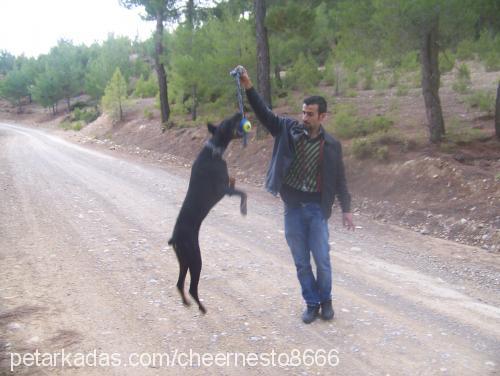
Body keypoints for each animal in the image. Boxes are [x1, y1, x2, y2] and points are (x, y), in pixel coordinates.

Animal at [168, 113, 246, 312]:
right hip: (196, 259)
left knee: (179, 284)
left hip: (184, 260)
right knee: (191, 287)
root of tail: (175, 238)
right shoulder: (223, 190)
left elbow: (236, 182)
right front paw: (243, 209)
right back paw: (201, 308)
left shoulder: (227, 187)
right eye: (229, 121)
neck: (214, 150)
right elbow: (243, 193)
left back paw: (187, 302)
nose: (240, 113)